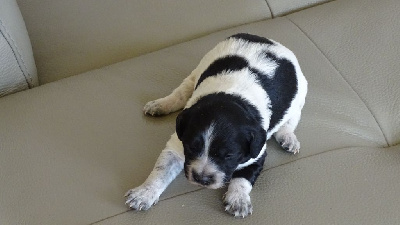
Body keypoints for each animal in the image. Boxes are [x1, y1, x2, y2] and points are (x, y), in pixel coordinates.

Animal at [126, 32, 310, 217]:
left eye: (229, 155)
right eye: (191, 148)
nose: (201, 179)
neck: (230, 97)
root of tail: (266, 40)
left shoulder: (256, 155)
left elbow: (242, 179)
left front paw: (238, 199)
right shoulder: (176, 145)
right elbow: (161, 171)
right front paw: (144, 193)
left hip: (300, 96)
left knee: (290, 122)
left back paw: (288, 138)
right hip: (198, 69)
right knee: (181, 93)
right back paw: (161, 104)